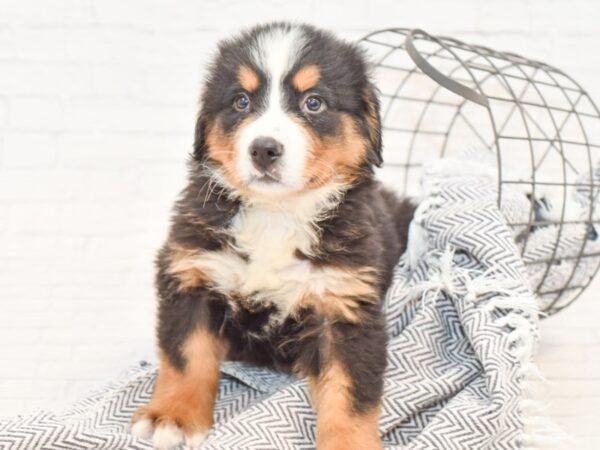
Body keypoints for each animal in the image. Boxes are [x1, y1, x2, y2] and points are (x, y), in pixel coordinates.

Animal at [130, 22, 412, 450]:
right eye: (241, 101)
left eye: (314, 103)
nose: (264, 149)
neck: (276, 215)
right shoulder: (193, 273)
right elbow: (186, 355)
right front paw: (173, 415)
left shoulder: (344, 305)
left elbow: (349, 393)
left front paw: (348, 443)